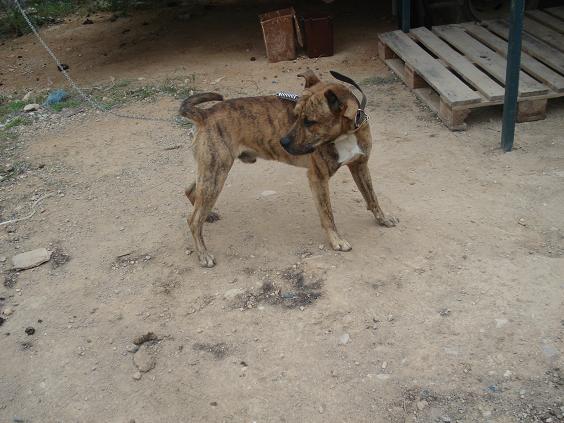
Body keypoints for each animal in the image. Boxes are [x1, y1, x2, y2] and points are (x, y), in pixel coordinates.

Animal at [180, 70, 396, 268]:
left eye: (309, 121)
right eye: (295, 116)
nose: (282, 142)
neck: (345, 135)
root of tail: (205, 114)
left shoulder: (360, 166)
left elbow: (372, 197)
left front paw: (383, 218)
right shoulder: (318, 178)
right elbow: (328, 214)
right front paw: (337, 241)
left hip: (211, 171)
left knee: (190, 191)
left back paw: (208, 215)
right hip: (216, 174)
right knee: (193, 219)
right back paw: (203, 253)